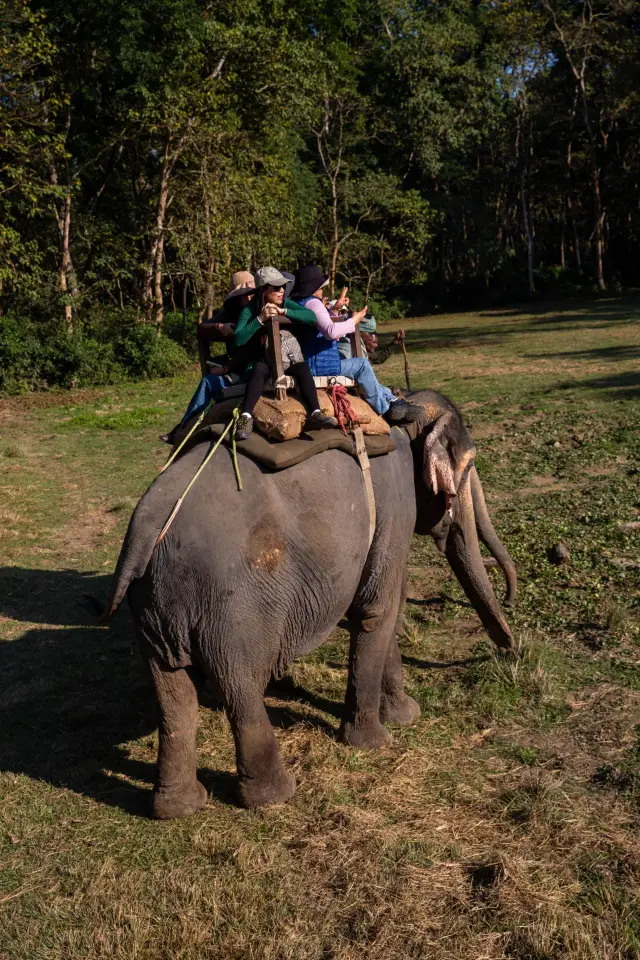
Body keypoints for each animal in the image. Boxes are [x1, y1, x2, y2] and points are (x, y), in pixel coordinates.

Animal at [94, 390, 516, 816]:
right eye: (468, 466)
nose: (510, 651)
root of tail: (147, 527)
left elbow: (376, 610)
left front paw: (401, 715)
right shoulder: (396, 506)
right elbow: (379, 608)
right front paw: (384, 735)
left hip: (153, 608)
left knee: (172, 691)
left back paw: (178, 807)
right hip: (234, 606)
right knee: (240, 686)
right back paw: (273, 796)